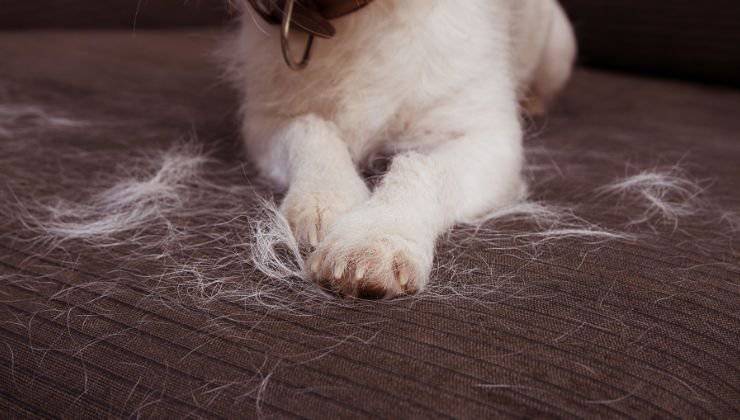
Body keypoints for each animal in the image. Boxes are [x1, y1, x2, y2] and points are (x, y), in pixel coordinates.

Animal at [225, 1, 580, 300]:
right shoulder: (266, 122)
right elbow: (311, 130)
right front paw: (324, 198)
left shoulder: (489, 138)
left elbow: (425, 167)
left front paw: (375, 236)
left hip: (558, 49)